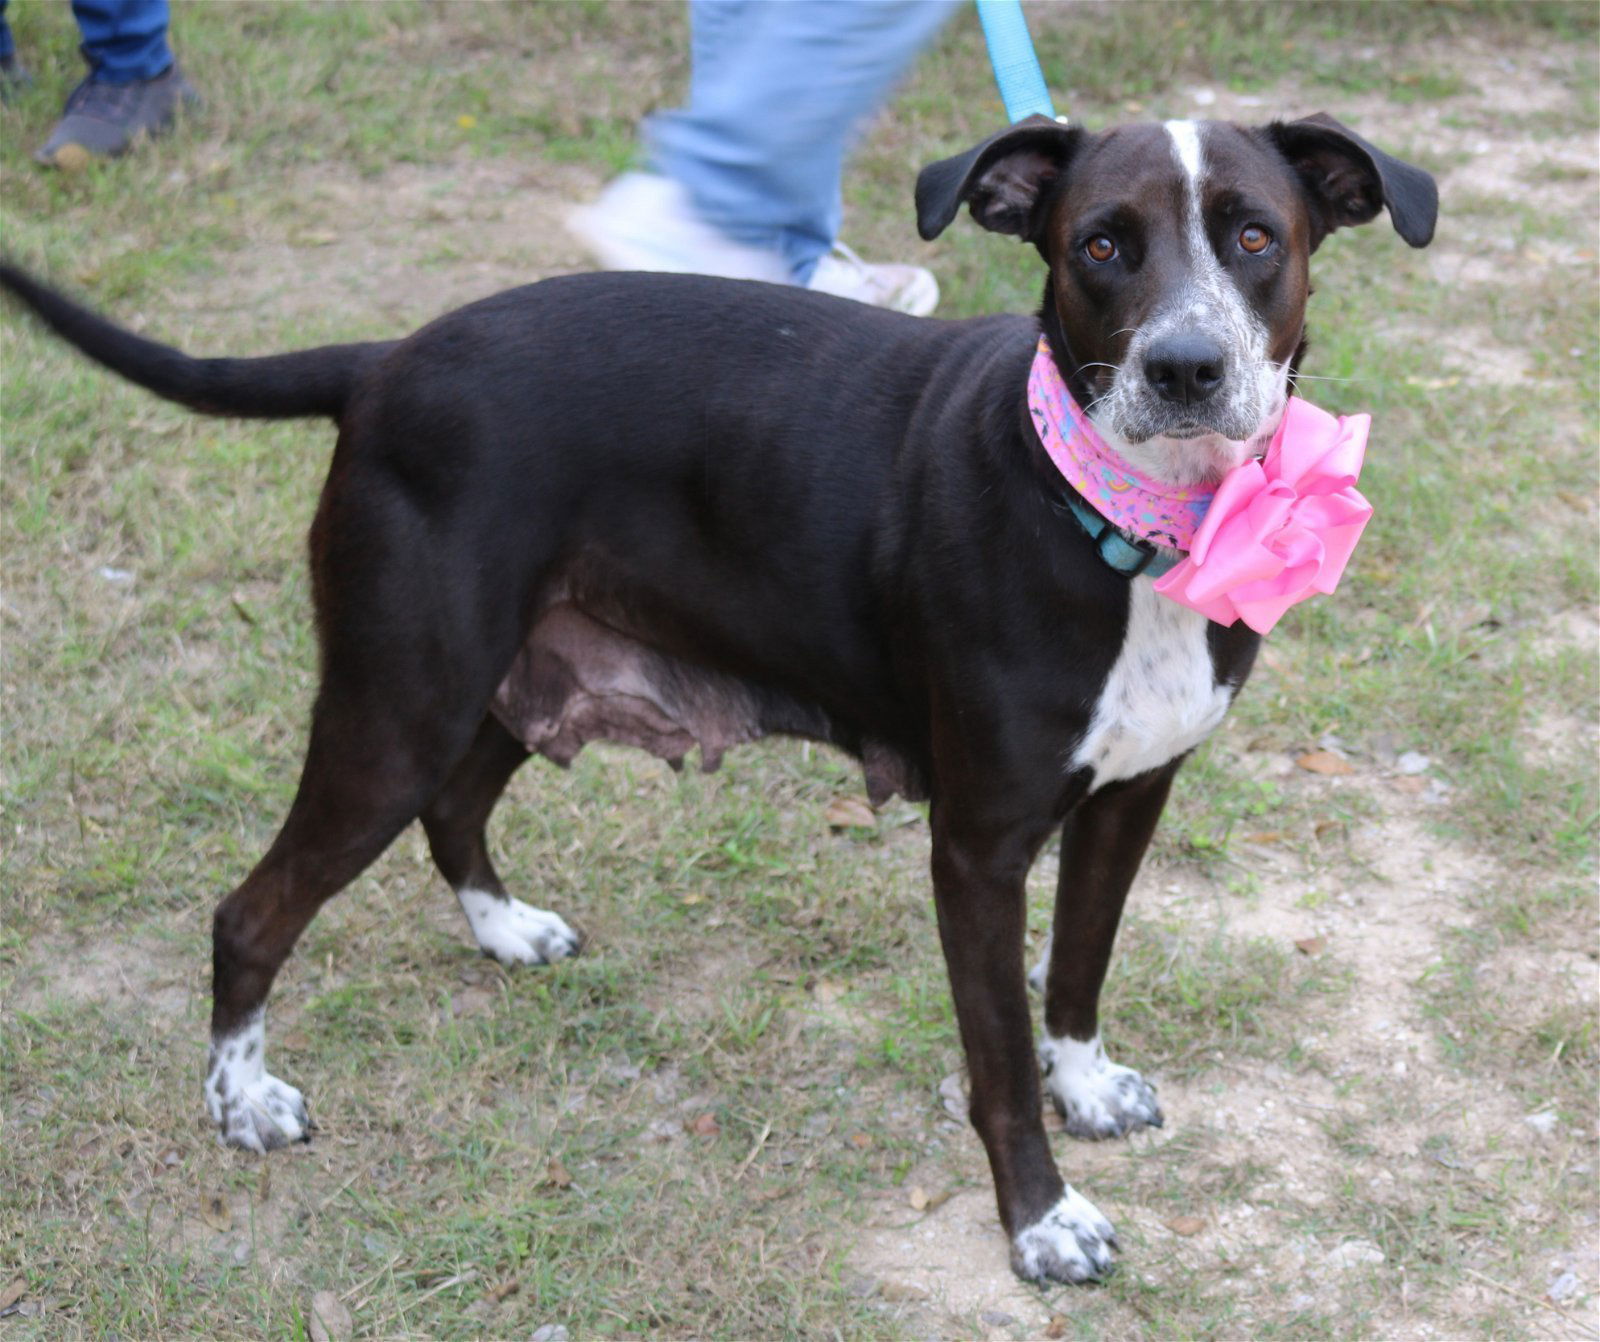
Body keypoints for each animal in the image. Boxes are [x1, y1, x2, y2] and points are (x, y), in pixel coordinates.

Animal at [0, 110, 1433, 1286]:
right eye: (1099, 245)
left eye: (1253, 235)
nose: (1188, 365)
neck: (1118, 518)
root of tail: (387, 357)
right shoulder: (977, 847)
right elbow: (997, 1062)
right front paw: (1042, 1219)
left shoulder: (1134, 792)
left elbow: (1075, 970)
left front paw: (1085, 1082)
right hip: (397, 705)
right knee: (253, 910)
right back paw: (242, 1099)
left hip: (514, 676)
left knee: (454, 809)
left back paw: (502, 928)